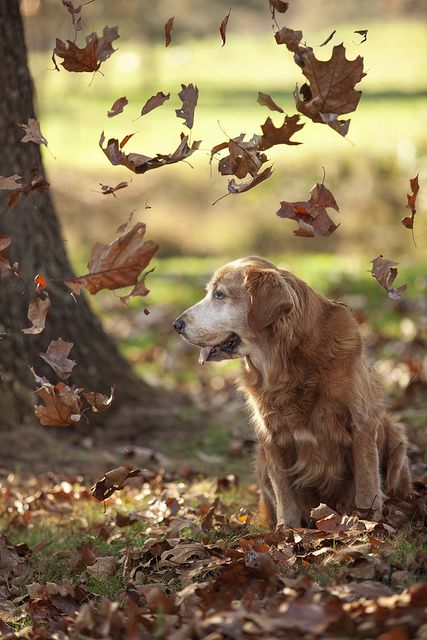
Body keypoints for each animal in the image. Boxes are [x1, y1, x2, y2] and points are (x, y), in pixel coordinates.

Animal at [173, 258, 412, 528]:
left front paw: (368, 523)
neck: (287, 364)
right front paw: (286, 530)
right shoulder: (271, 436)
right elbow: (284, 493)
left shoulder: (361, 425)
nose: (176, 325)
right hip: (260, 458)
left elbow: (367, 485)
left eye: (219, 294)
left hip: (396, 436)